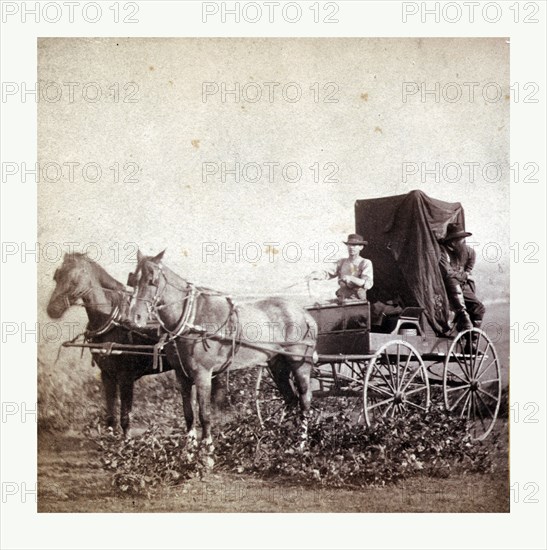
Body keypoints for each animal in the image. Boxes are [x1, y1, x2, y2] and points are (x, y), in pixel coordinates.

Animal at [128, 252, 316, 468]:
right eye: (133, 279)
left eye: (152, 280)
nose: (134, 318)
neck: (193, 318)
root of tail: (305, 313)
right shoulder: (181, 375)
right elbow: (188, 414)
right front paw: (188, 453)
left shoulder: (203, 374)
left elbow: (205, 414)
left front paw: (207, 455)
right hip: (278, 365)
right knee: (290, 399)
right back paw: (282, 439)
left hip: (300, 364)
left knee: (304, 401)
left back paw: (300, 445)